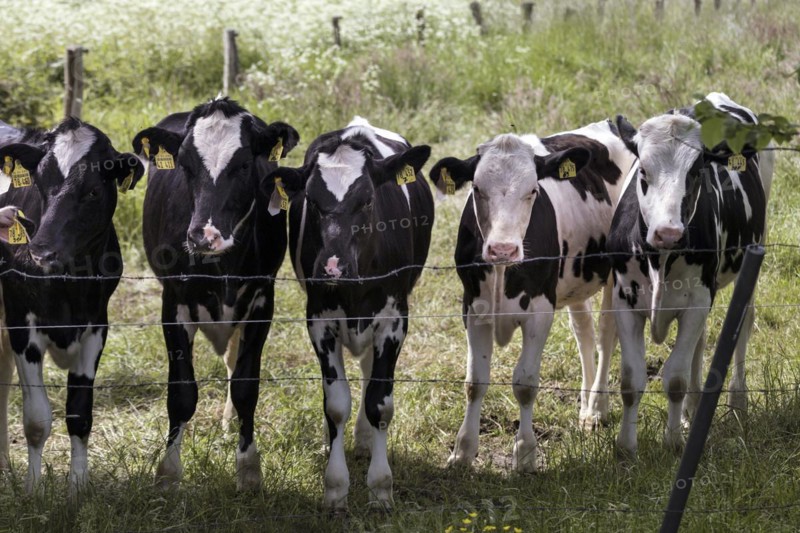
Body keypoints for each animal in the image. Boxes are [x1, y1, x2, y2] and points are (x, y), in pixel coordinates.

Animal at [0, 118, 145, 493]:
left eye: (93, 190)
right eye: (39, 183)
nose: (41, 250)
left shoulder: (96, 326)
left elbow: (80, 414)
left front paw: (77, 490)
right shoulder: (22, 325)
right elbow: (36, 420)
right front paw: (33, 491)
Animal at [130, 97, 299, 491]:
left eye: (244, 164)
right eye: (185, 164)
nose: (203, 236)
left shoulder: (262, 299)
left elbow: (246, 386)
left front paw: (249, 470)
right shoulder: (173, 303)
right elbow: (181, 393)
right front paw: (168, 473)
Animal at [263, 117, 433, 511]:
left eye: (368, 200)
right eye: (311, 200)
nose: (333, 267)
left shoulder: (394, 320)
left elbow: (380, 402)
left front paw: (381, 487)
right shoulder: (319, 321)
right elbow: (336, 403)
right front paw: (336, 487)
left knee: (371, 374)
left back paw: (367, 439)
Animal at [428, 120, 637, 472]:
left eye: (533, 191)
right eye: (477, 189)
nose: (502, 249)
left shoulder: (540, 311)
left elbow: (525, 384)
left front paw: (525, 455)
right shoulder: (473, 307)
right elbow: (474, 383)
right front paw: (463, 452)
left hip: (613, 275)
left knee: (607, 334)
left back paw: (597, 408)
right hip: (574, 282)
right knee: (584, 333)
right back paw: (585, 407)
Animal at [609, 92, 774, 458]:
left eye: (697, 170)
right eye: (643, 170)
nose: (668, 232)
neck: (660, 259)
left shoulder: (698, 300)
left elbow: (675, 379)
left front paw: (673, 442)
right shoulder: (624, 302)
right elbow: (631, 380)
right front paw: (626, 447)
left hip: (751, 260)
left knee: (744, 323)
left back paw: (737, 402)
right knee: (698, 344)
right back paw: (693, 409)